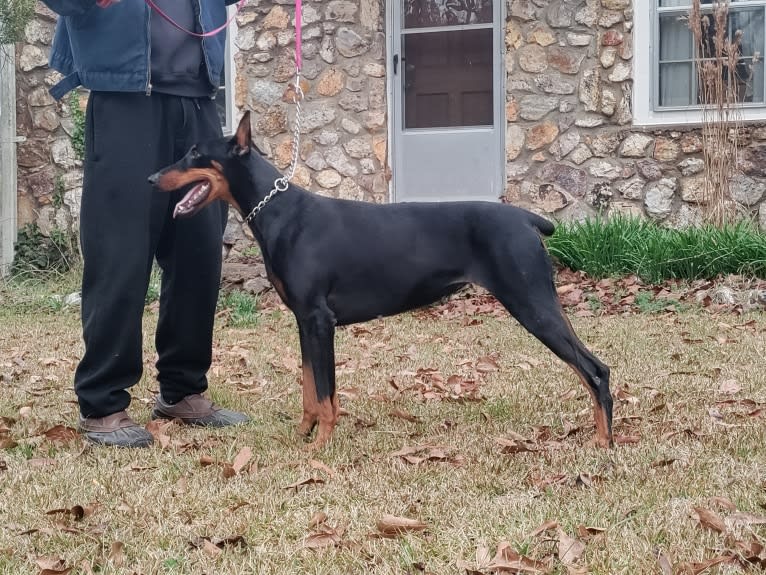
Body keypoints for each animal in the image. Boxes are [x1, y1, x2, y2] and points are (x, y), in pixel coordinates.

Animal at [152, 111, 616, 450]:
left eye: (195, 152)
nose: (152, 178)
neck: (278, 210)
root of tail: (526, 218)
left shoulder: (319, 320)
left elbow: (325, 393)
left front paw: (321, 446)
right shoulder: (304, 322)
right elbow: (310, 388)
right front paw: (302, 435)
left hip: (530, 302)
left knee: (594, 370)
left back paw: (604, 443)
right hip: (541, 300)